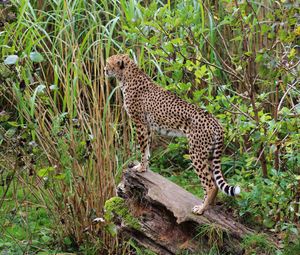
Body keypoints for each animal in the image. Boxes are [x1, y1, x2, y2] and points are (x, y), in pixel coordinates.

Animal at [104, 54, 240, 215]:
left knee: (210, 184)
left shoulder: (140, 123)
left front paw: (140, 168)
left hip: (196, 153)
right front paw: (145, 167)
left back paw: (201, 208)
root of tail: (215, 121)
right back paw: (209, 206)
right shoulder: (147, 125)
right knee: (214, 180)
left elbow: (143, 147)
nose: (104, 69)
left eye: (108, 63)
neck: (127, 75)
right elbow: (147, 148)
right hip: (209, 153)